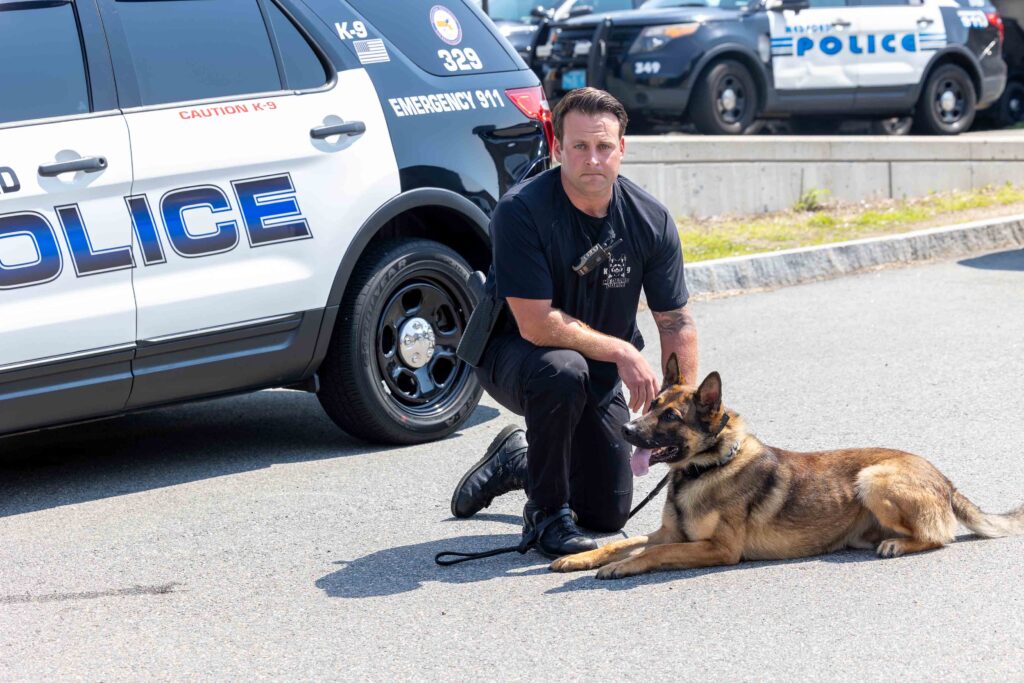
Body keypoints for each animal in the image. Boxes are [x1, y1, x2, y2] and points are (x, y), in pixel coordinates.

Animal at [552, 356, 1024, 581]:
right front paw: (583, 558)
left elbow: (652, 552)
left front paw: (621, 567)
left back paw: (898, 544)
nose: (627, 430)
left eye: (670, 417)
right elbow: (624, 544)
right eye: (652, 405)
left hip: (872, 479)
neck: (707, 467)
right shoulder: (671, 533)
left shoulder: (718, 550)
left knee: (937, 538)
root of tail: (945, 479)